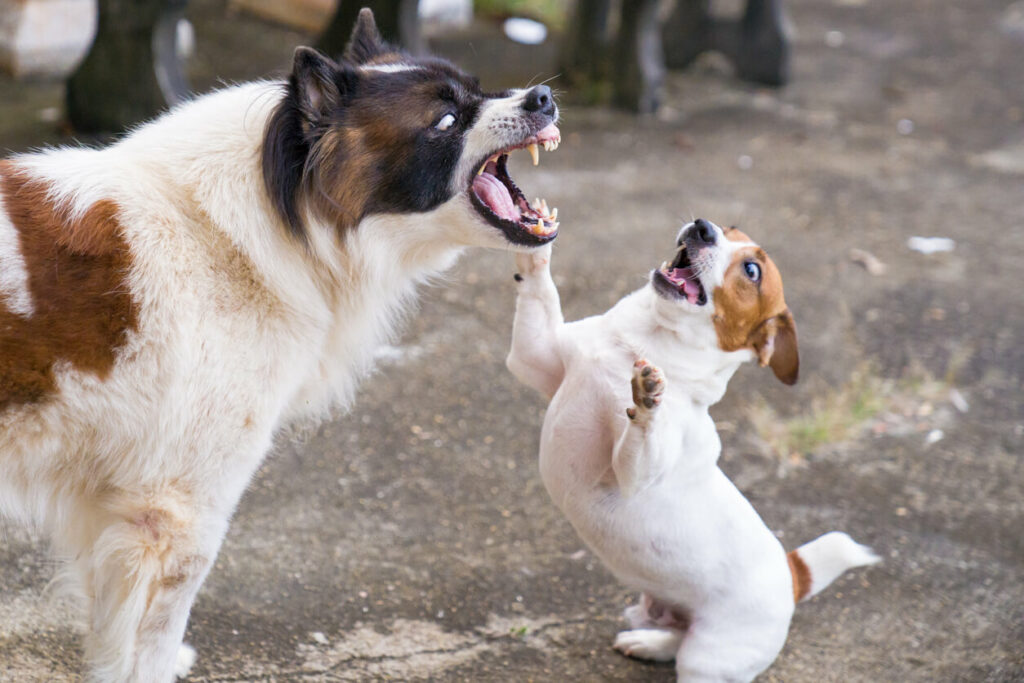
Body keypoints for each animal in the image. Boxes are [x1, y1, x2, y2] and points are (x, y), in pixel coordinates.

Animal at [0, 10, 561, 683]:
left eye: (477, 90)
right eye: (446, 121)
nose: (543, 98)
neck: (267, 218)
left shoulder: (115, 503)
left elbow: (111, 619)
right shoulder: (181, 510)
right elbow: (154, 631)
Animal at [507, 220, 876, 683]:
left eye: (752, 270)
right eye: (729, 227)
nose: (702, 228)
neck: (639, 344)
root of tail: (791, 577)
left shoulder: (633, 476)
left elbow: (642, 430)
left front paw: (648, 399)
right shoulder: (534, 359)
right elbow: (539, 292)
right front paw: (534, 239)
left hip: (708, 659)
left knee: (690, 659)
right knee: (675, 639)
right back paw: (647, 642)